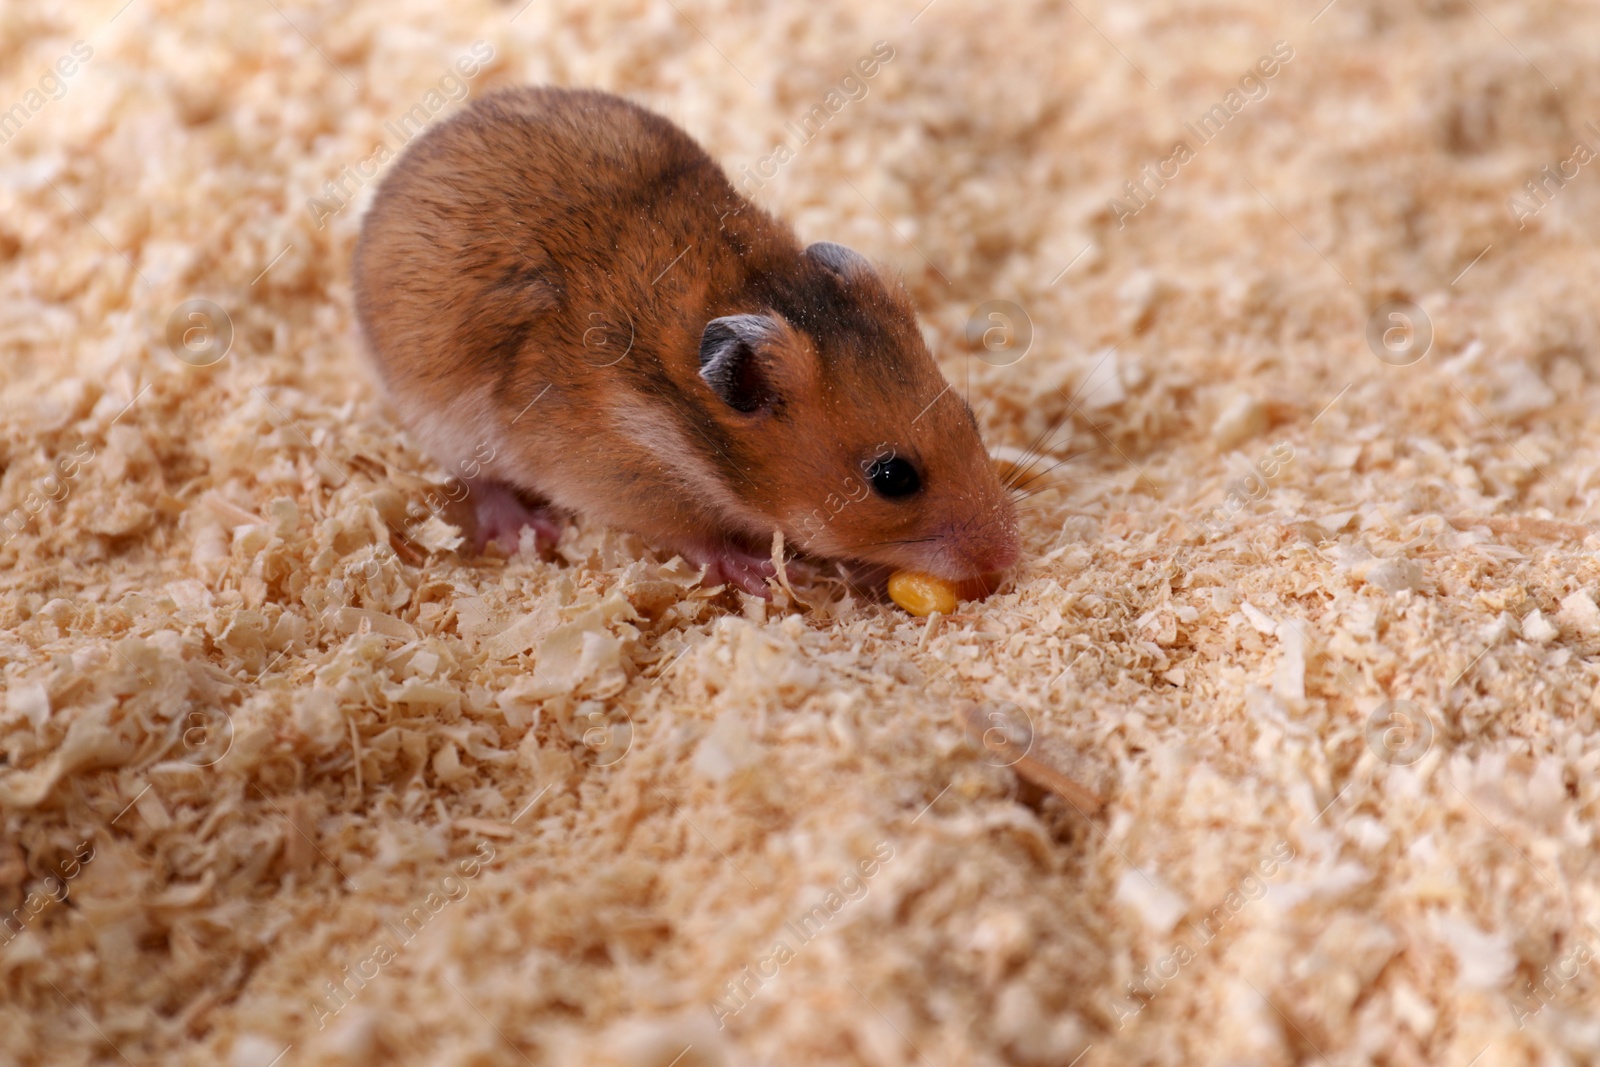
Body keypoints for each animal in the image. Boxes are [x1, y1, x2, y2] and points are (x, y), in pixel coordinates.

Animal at [355, 86, 1017, 598]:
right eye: (892, 478)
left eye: (971, 417)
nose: (1009, 555)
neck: (684, 419)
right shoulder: (626, 484)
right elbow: (698, 539)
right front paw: (768, 577)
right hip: (444, 419)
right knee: (479, 482)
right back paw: (527, 530)